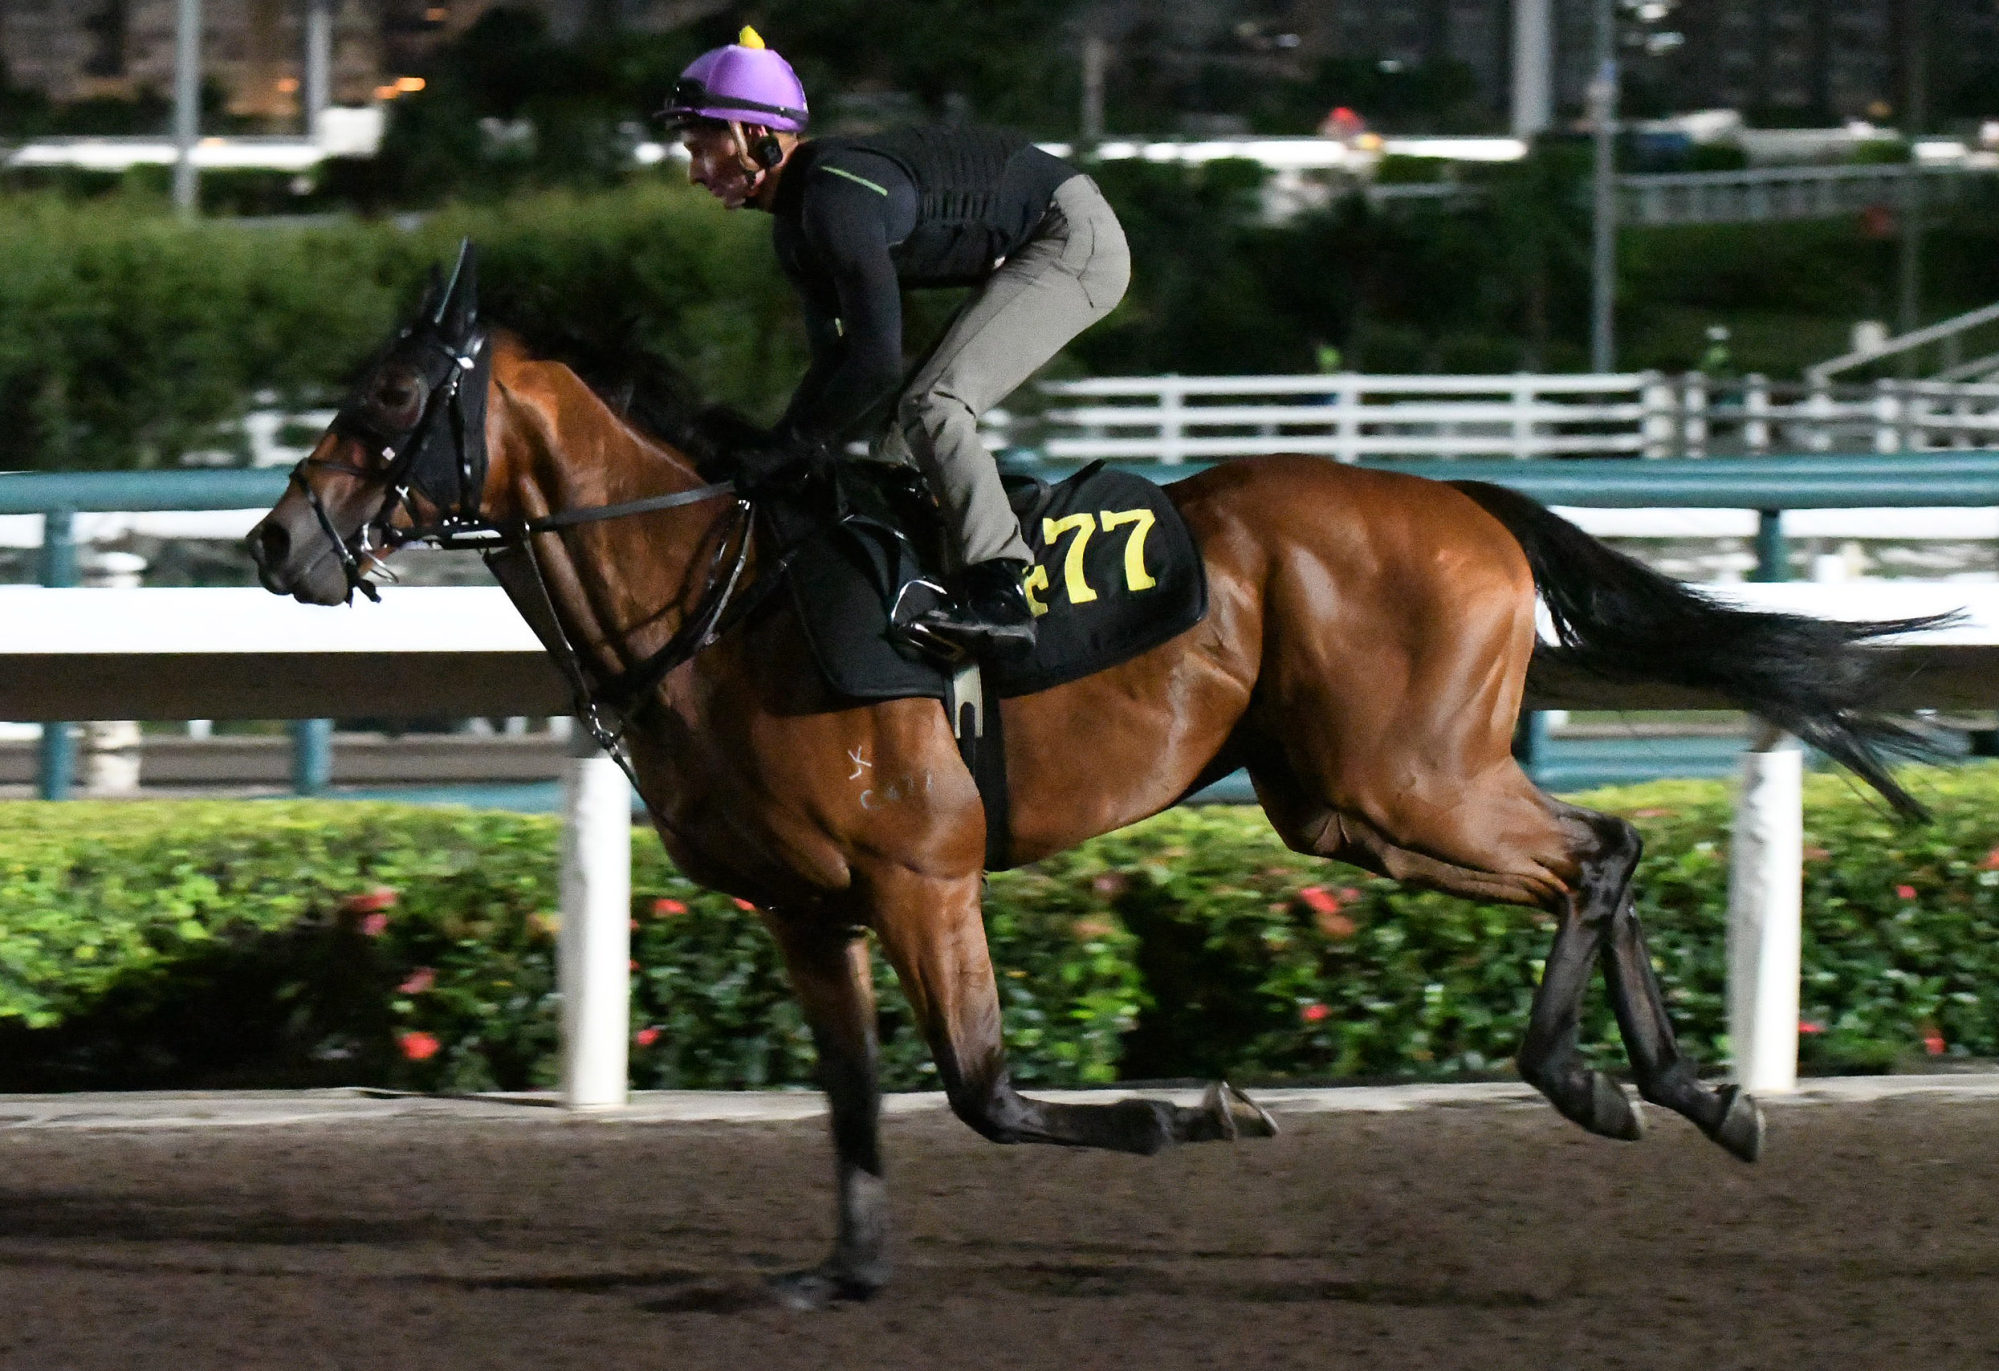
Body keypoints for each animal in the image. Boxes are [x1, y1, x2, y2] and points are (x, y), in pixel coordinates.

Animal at [245, 252, 1935, 1319]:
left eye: (387, 404)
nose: (276, 543)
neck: (720, 598)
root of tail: (1456, 498)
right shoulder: (809, 908)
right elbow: (853, 1099)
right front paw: (840, 1273)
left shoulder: (921, 873)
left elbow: (984, 1091)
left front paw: (1198, 1111)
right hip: (1345, 803)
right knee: (1598, 849)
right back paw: (1688, 1088)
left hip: (1410, 779)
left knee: (1597, 846)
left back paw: (1602, 1078)